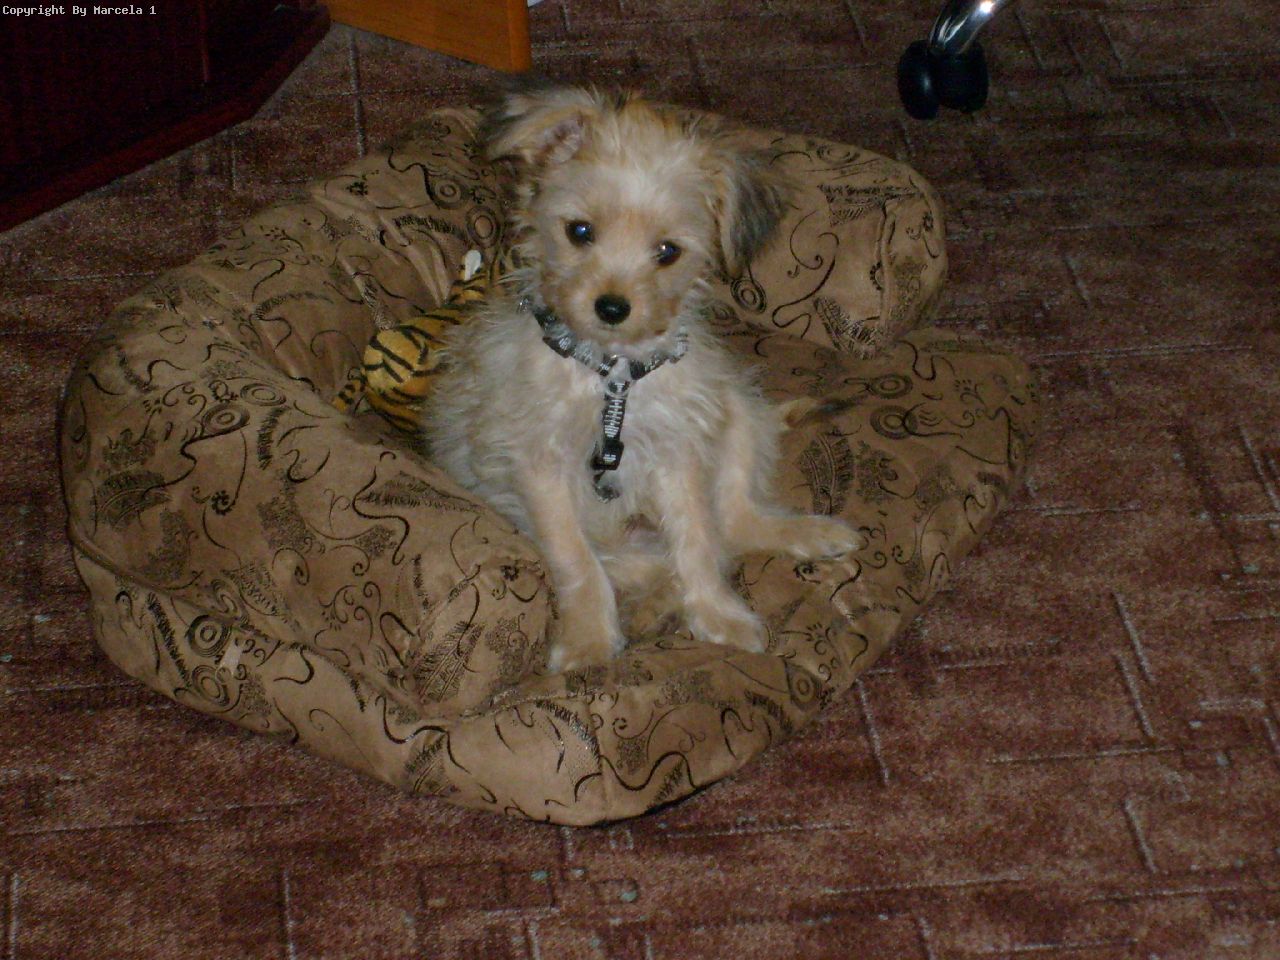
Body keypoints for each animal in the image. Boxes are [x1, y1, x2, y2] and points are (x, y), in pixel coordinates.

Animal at [423, 83, 864, 672]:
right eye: (579, 231)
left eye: (668, 252)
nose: (612, 307)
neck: (612, 377)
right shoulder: (540, 468)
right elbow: (577, 561)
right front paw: (589, 640)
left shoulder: (678, 451)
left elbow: (697, 539)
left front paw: (717, 615)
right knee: (655, 561)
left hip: (735, 408)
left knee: (733, 523)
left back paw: (803, 534)